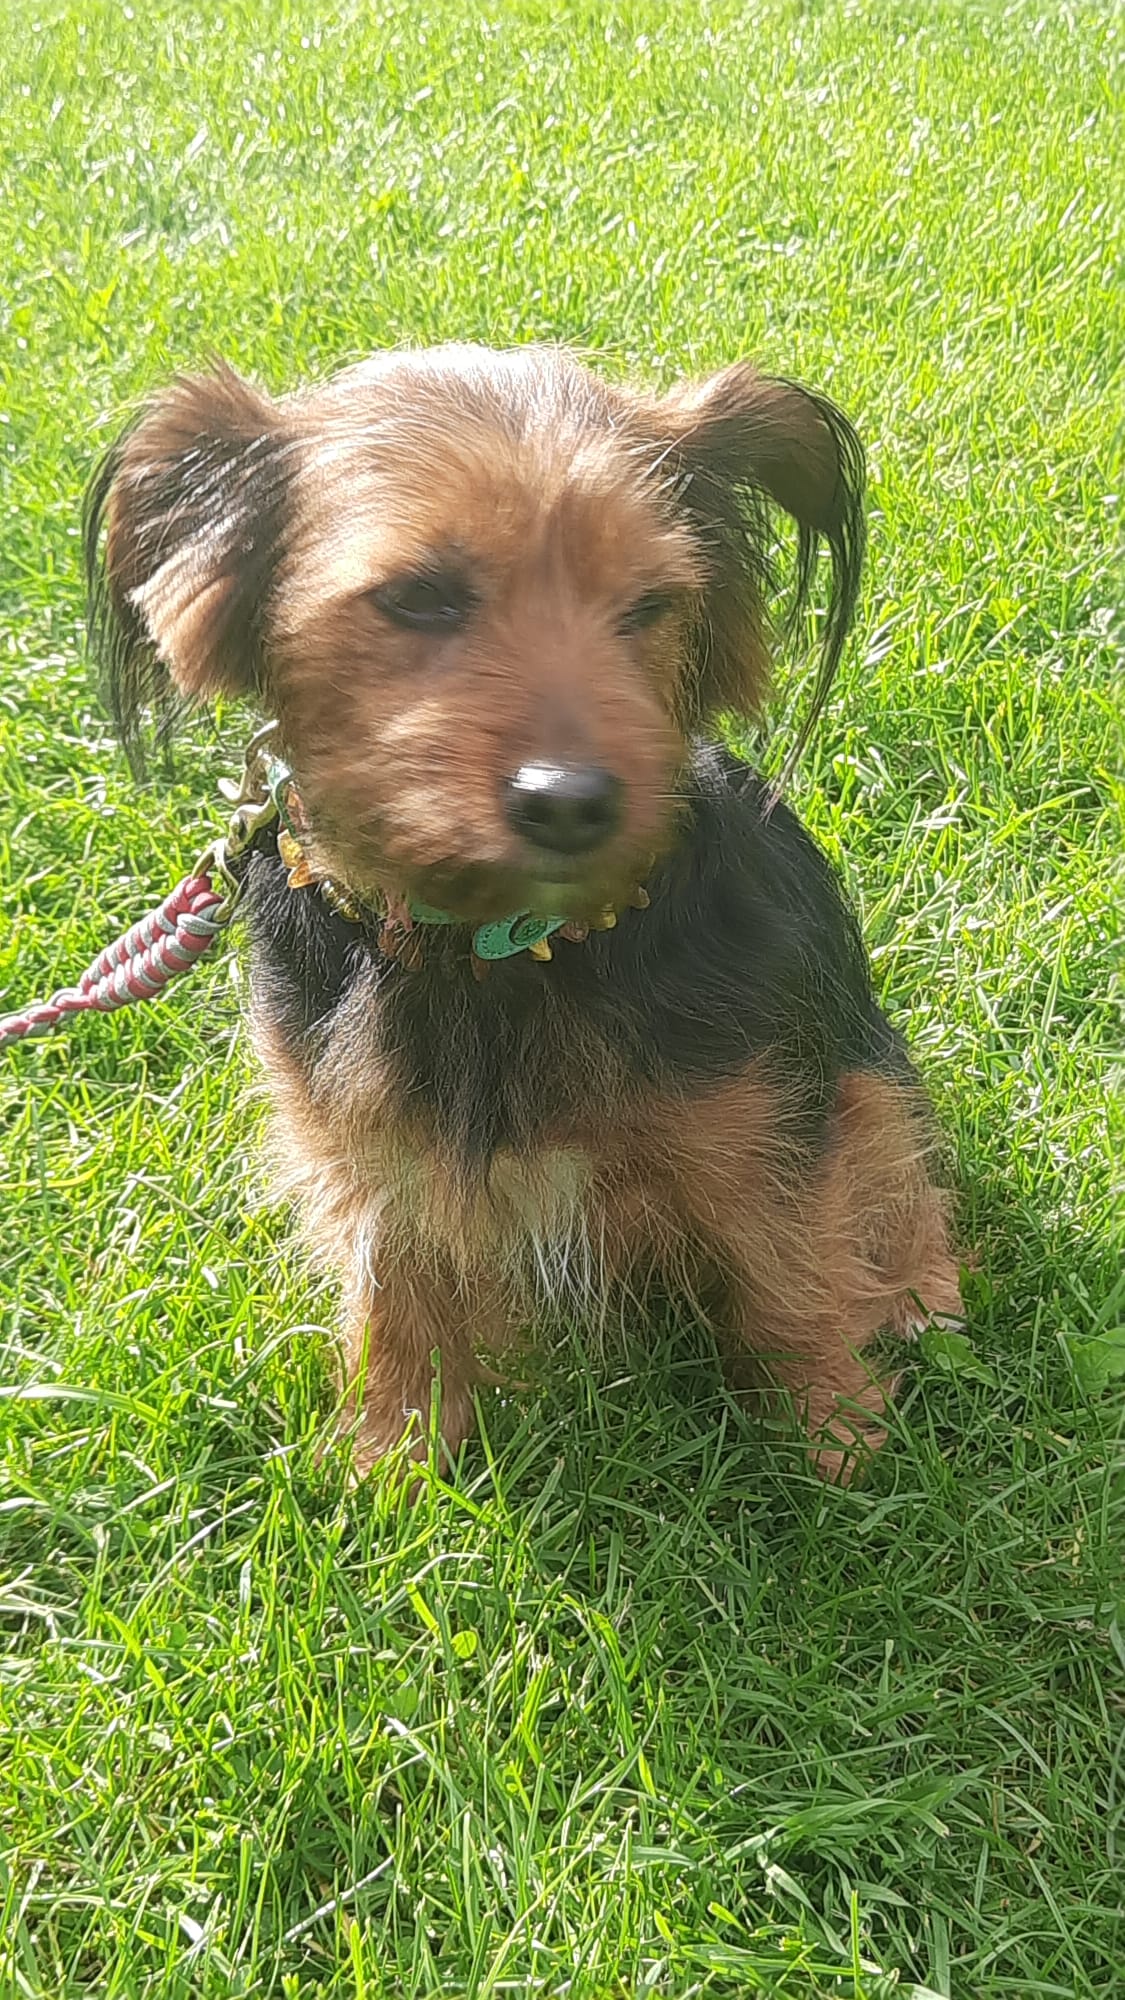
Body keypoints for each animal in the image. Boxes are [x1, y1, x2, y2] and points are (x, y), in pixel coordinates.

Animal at [84, 343, 962, 1481]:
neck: (490, 946)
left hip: (868, 1073)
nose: (574, 801)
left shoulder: (763, 1120)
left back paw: (919, 1294)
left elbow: (792, 1270)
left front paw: (837, 1445)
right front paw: (395, 1465)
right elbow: (395, 1298)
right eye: (418, 596)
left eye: (650, 605)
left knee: (898, 1177)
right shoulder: (369, 1147)